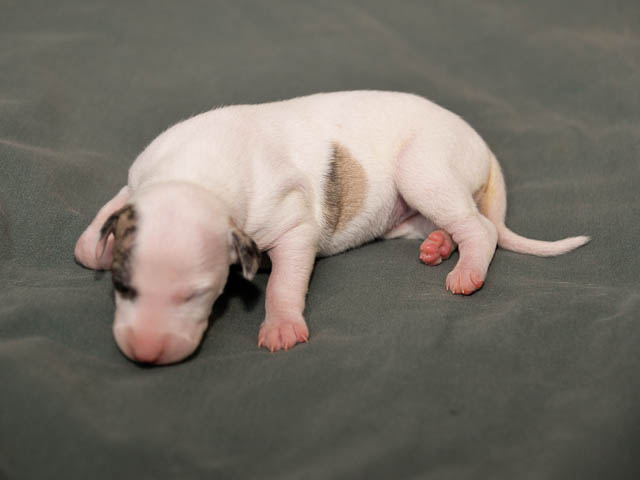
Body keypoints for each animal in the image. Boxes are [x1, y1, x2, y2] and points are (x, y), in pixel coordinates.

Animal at [74, 91, 589, 364]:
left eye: (198, 294)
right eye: (121, 287)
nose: (145, 353)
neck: (194, 176)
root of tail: (481, 143)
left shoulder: (291, 224)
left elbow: (285, 279)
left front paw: (281, 324)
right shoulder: (138, 180)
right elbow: (94, 234)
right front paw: (94, 246)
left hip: (423, 167)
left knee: (481, 229)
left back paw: (466, 269)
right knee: (453, 223)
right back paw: (440, 244)